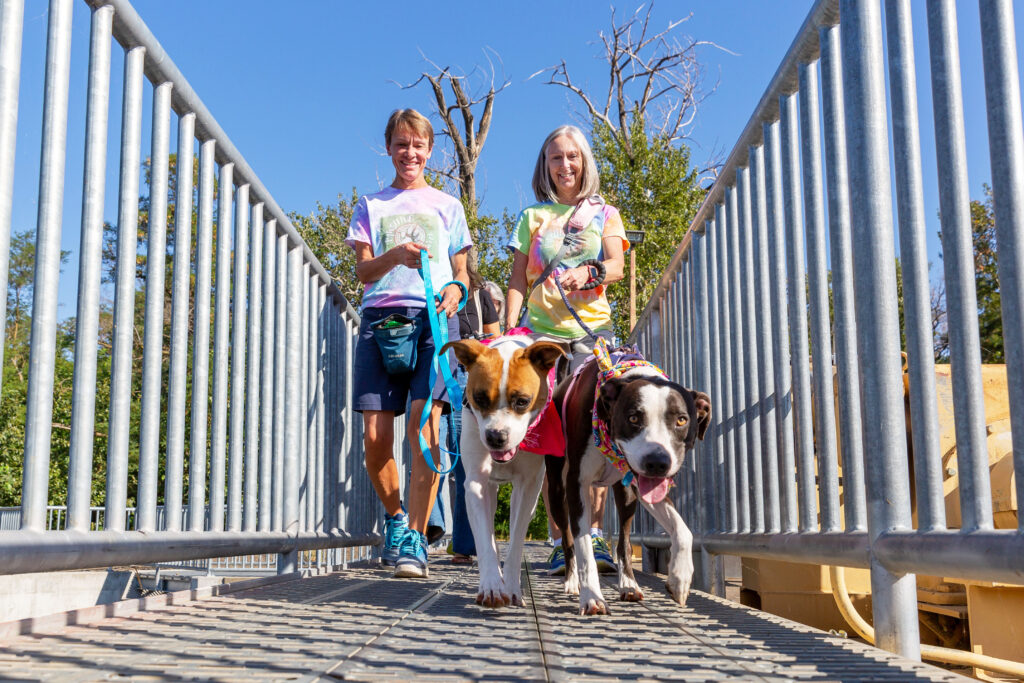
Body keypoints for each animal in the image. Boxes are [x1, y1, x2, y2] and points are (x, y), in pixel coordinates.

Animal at [438, 335, 569, 610]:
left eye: (522, 401)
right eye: (479, 398)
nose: (496, 437)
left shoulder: (528, 486)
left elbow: (517, 537)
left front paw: (510, 587)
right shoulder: (476, 484)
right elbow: (485, 540)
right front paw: (491, 586)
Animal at [548, 350, 708, 618]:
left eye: (681, 420)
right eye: (633, 417)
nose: (657, 462)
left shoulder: (643, 486)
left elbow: (682, 529)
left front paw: (680, 578)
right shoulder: (576, 486)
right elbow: (583, 547)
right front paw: (592, 596)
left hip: (625, 496)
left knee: (623, 541)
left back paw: (630, 585)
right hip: (557, 491)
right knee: (568, 539)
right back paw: (571, 580)